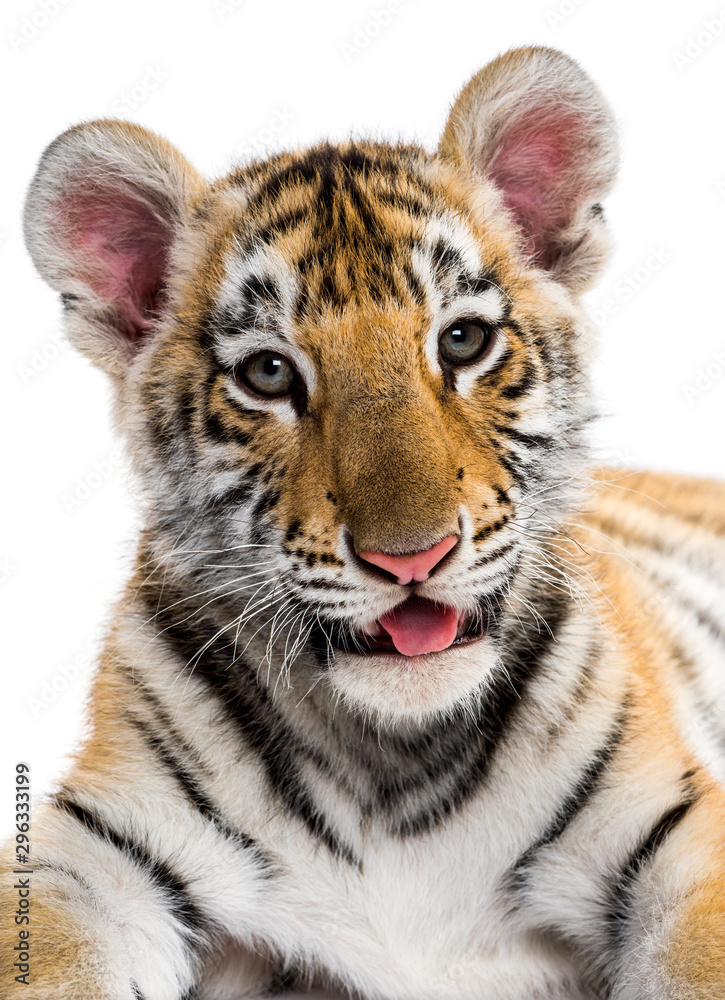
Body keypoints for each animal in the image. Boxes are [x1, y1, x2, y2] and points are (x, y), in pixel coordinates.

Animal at [3, 42, 725, 1000]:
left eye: (461, 342)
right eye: (269, 374)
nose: (413, 558)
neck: (393, 759)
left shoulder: (677, 837)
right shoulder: (94, 860)